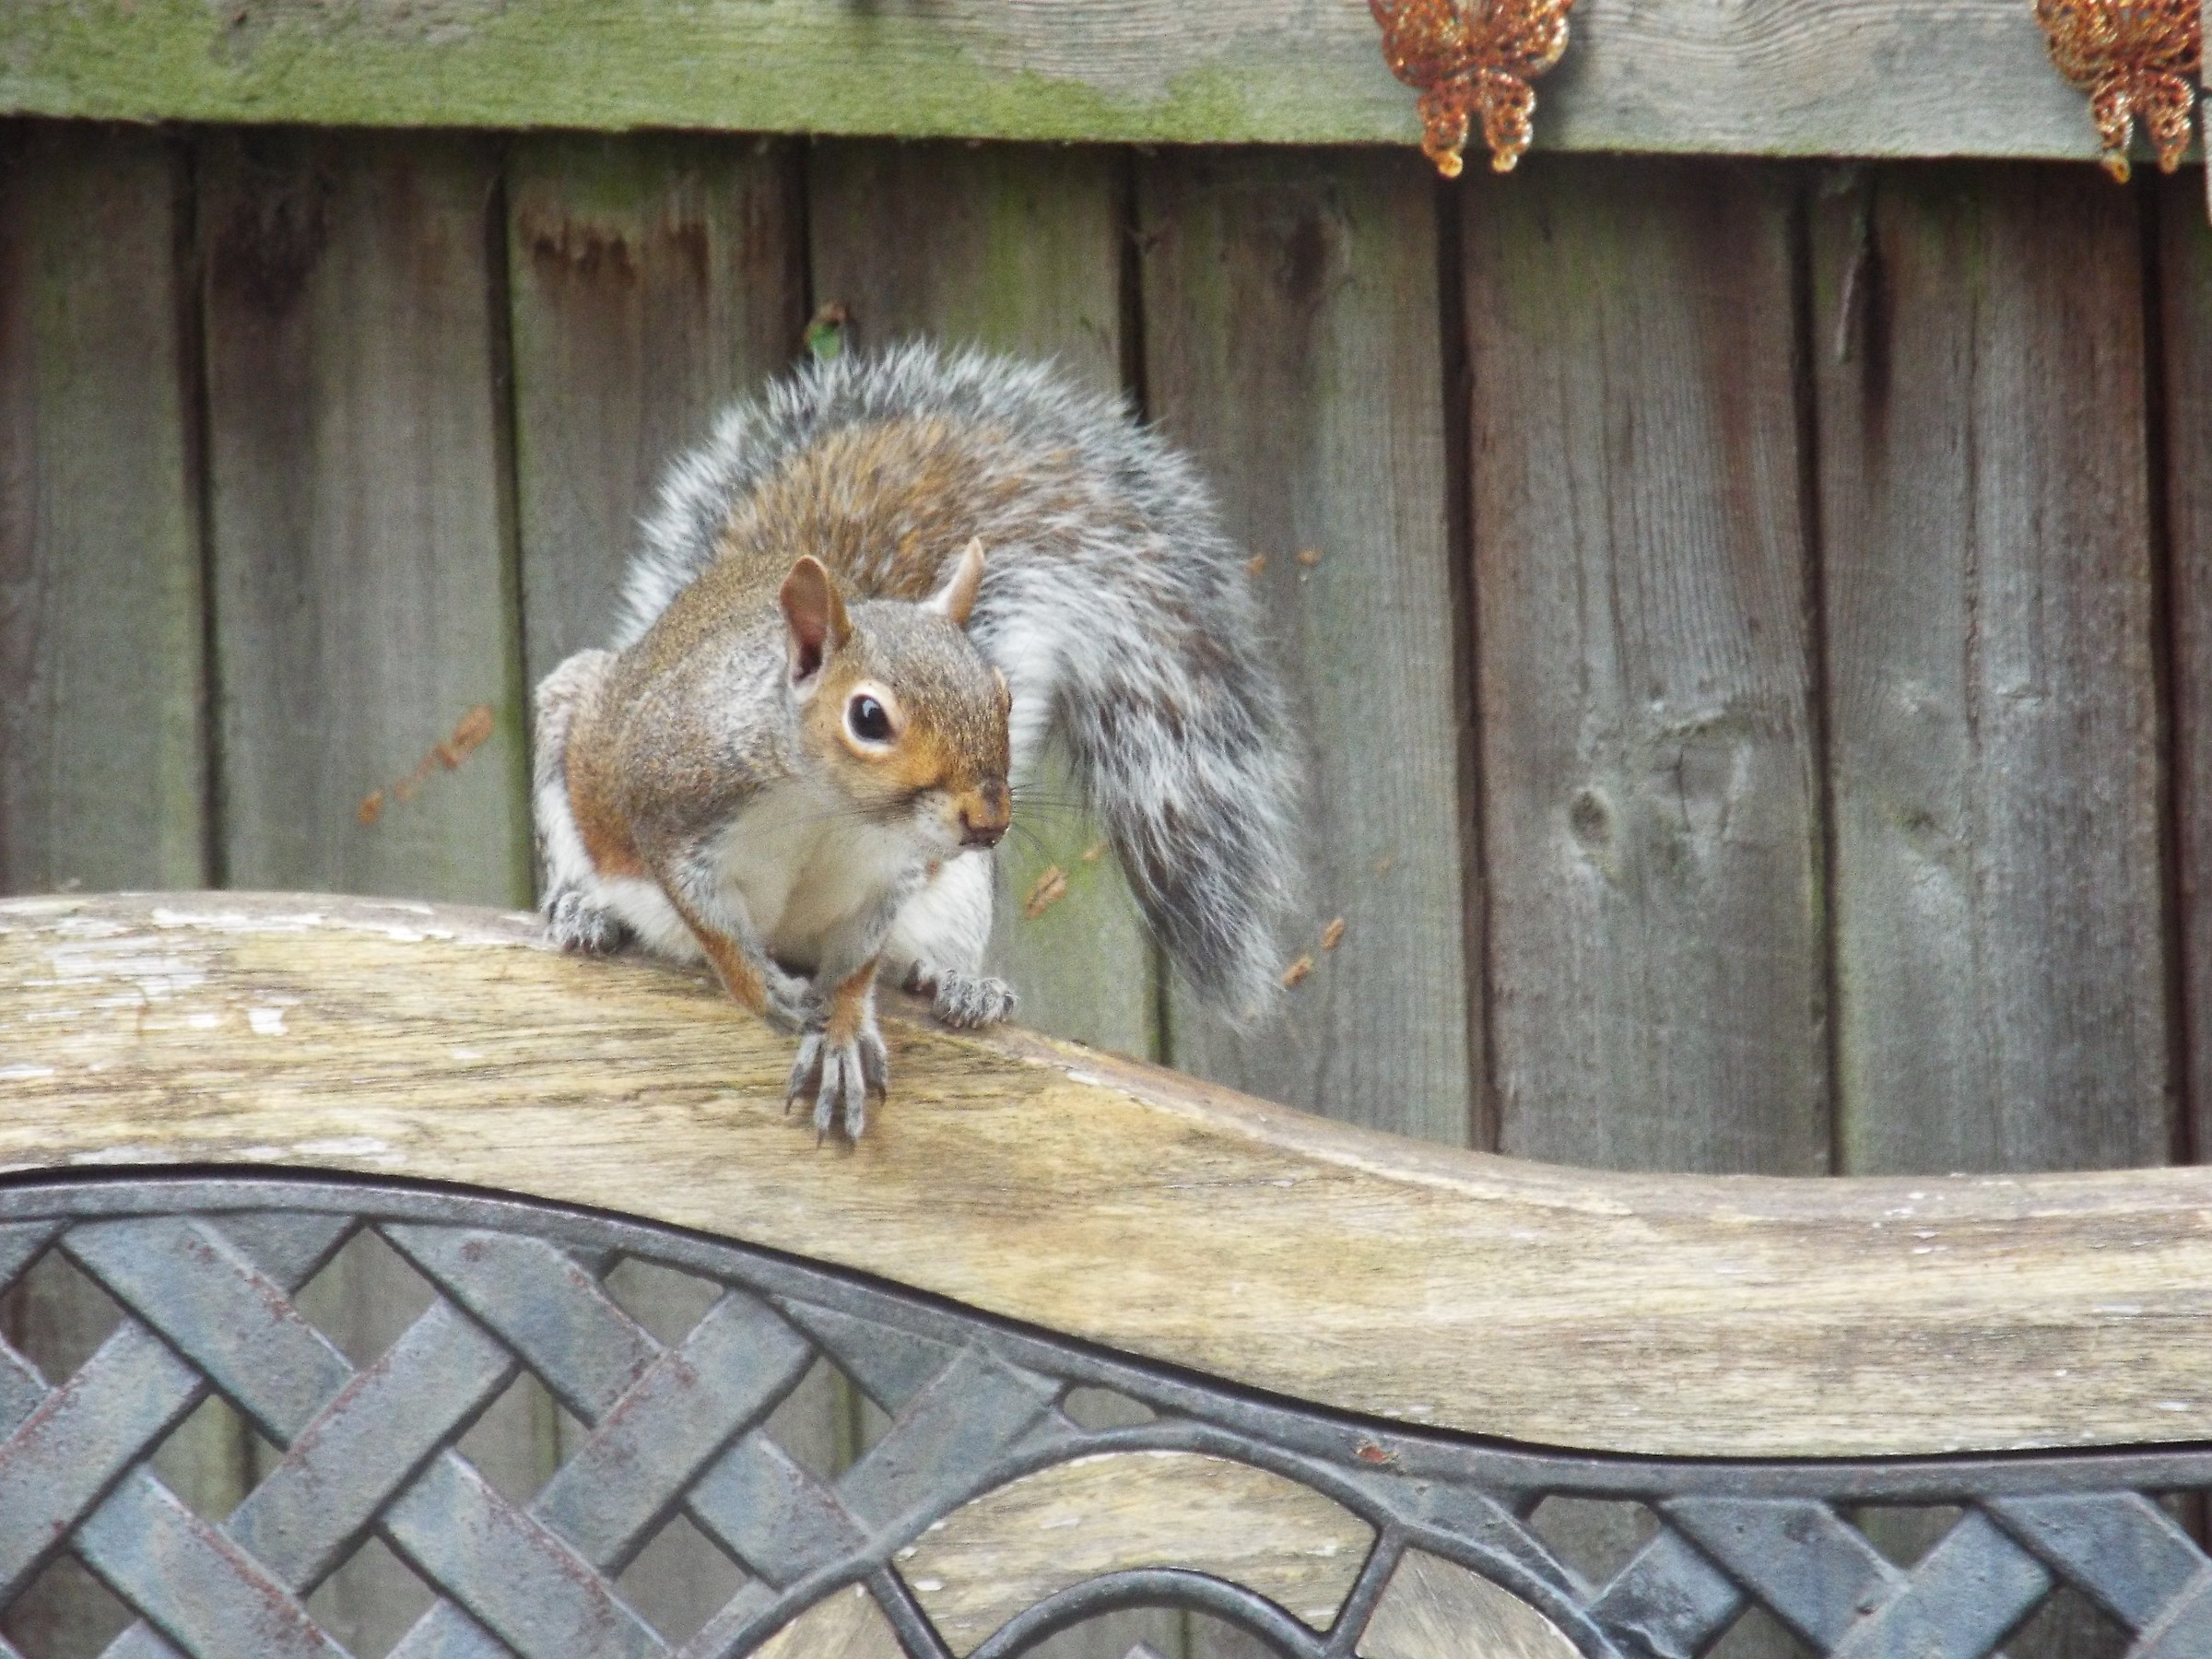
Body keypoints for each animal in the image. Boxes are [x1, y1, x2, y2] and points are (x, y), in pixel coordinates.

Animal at [532, 343, 1301, 1138]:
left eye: (1004, 694)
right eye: (869, 718)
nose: (989, 821)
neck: (828, 814)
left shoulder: (887, 880)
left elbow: (857, 968)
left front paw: (843, 1033)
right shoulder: (671, 809)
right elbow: (712, 929)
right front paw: (763, 992)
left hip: (958, 894)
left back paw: (958, 985)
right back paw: (583, 913)